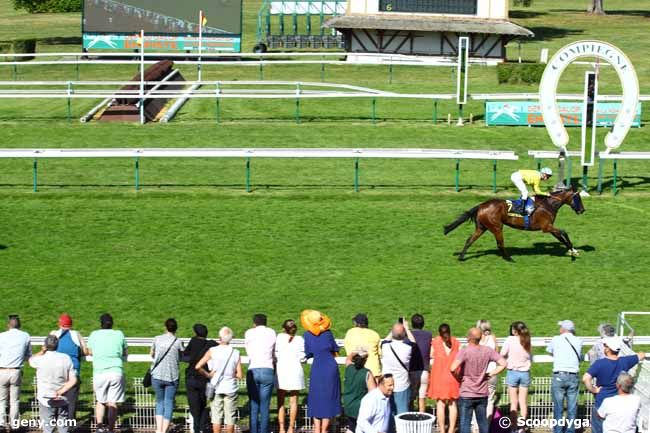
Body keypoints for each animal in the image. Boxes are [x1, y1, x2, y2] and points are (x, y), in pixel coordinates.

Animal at [442, 186, 584, 260]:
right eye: (578, 197)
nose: (583, 210)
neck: (548, 205)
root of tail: (481, 205)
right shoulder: (546, 227)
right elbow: (564, 233)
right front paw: (572, 251)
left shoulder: (549, 227)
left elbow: (561, 237)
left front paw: (573, 251)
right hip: (497, 227)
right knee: (500, 244)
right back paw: (509, 258)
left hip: (482, 227)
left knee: (470, 240)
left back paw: (461, 257)